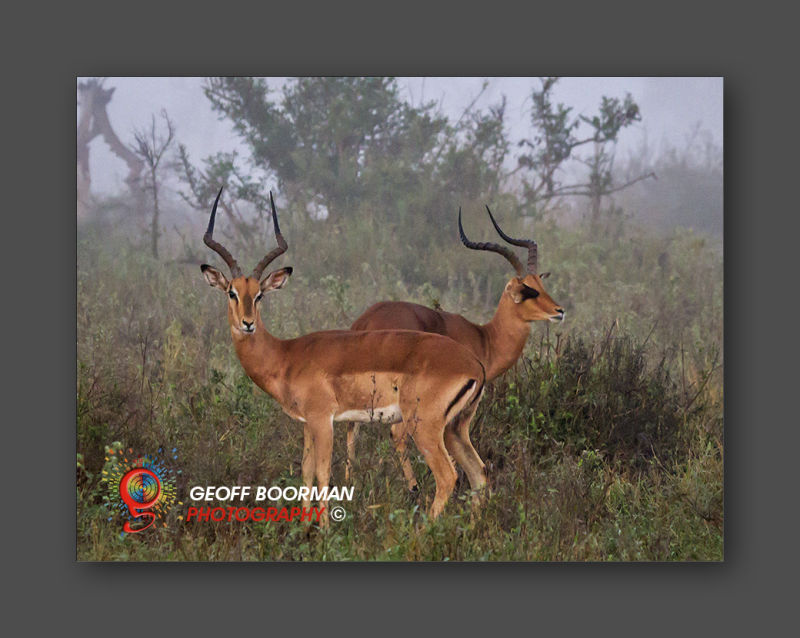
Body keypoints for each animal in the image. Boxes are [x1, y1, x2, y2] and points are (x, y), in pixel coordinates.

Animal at [200, 188, 488, 522]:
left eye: (259, 294)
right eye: (231, 292)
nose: (247, 323)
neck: (286, 356)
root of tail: (474, 365)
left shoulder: (323, 420)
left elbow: (323, 474)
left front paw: (323, 529)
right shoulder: (307, 424)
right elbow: (306, 473)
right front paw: (305, 527)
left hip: (425, 427)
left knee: (448, 476)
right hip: (457, 428)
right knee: (479, 473)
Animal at [346, 206, 564, 490]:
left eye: (541, 284)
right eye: (528, 291)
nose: (559, 311)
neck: (485, 339)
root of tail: (365, 322)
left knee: (351, 430)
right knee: (396, 433)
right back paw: (413, 488)